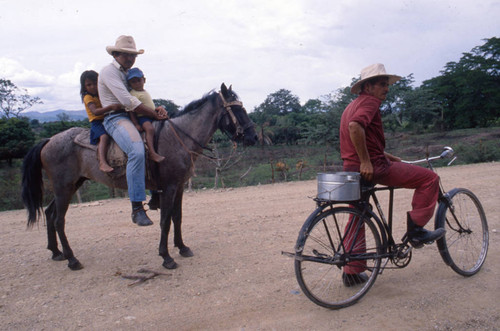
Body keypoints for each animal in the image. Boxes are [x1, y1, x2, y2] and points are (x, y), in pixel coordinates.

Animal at [21, 83, 256, 272]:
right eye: (237, 108)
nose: (253, 136)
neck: (179, 137)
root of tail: (49, 140)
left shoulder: (179, 187)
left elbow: (177, 218)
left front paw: (182, 247)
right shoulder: (169, 187)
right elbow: (165, 220)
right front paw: (166, 257)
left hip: (71, 185)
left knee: (50, 214)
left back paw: (56, 252)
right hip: (64, 187)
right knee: (59, 220)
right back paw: (72, 259)